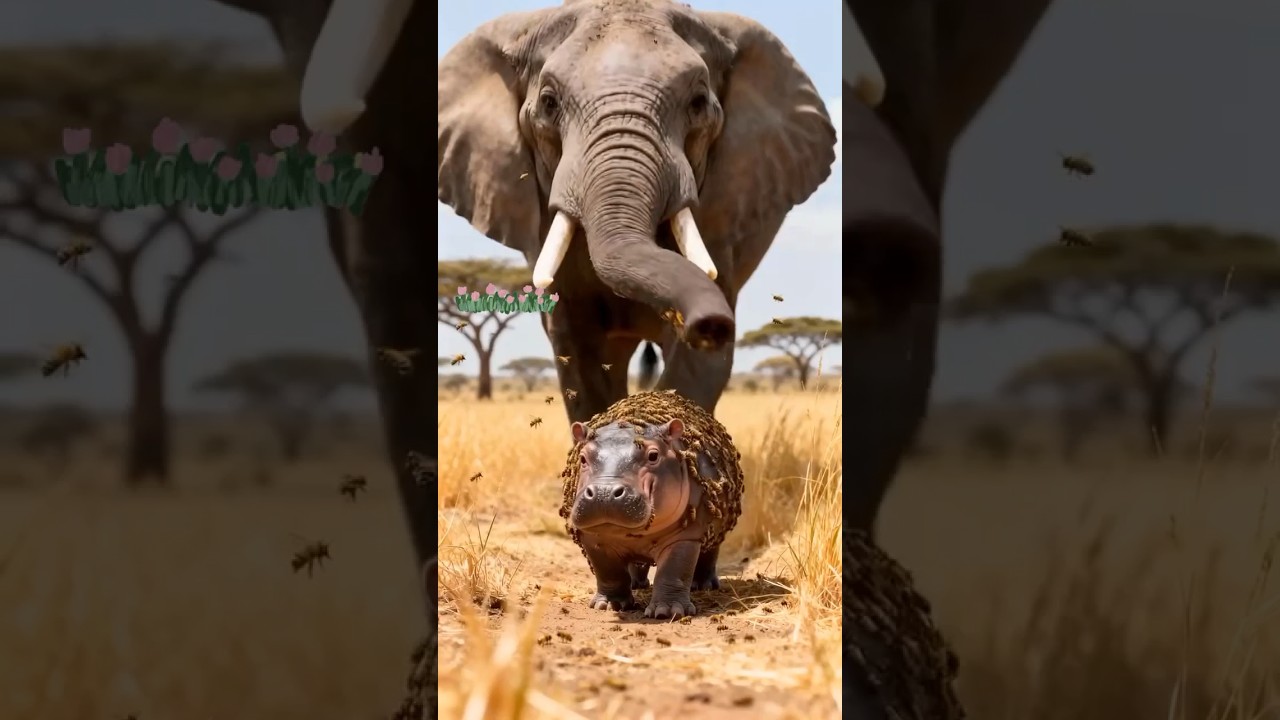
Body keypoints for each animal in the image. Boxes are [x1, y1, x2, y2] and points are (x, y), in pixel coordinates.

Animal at [558, 390, 744, 619]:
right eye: (583, 457)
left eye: (654, 455)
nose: (604, 493)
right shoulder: (592, 538)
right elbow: (607, 572)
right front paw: (608, 605)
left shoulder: (686, 535)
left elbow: (674, 571)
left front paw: (668, 612)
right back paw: (637, 585)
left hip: (714, 528)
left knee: (709, 555)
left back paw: (704, 586)